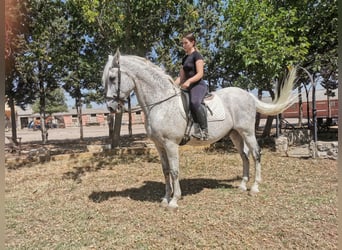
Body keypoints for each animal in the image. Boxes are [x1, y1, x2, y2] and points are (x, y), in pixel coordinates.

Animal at [102, 50, 296, 209]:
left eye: (112, 78)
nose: (110, 107)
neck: (161, 103)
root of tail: (247, 94)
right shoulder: (159, 145)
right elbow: (165, 170)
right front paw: (165, 198)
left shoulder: (170, 144)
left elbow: (174, 171)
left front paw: (174, 201)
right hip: (235, 134)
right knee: (244, 156)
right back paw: (242, 185)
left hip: (247, 132)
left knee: (256, 154)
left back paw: (255, 187)